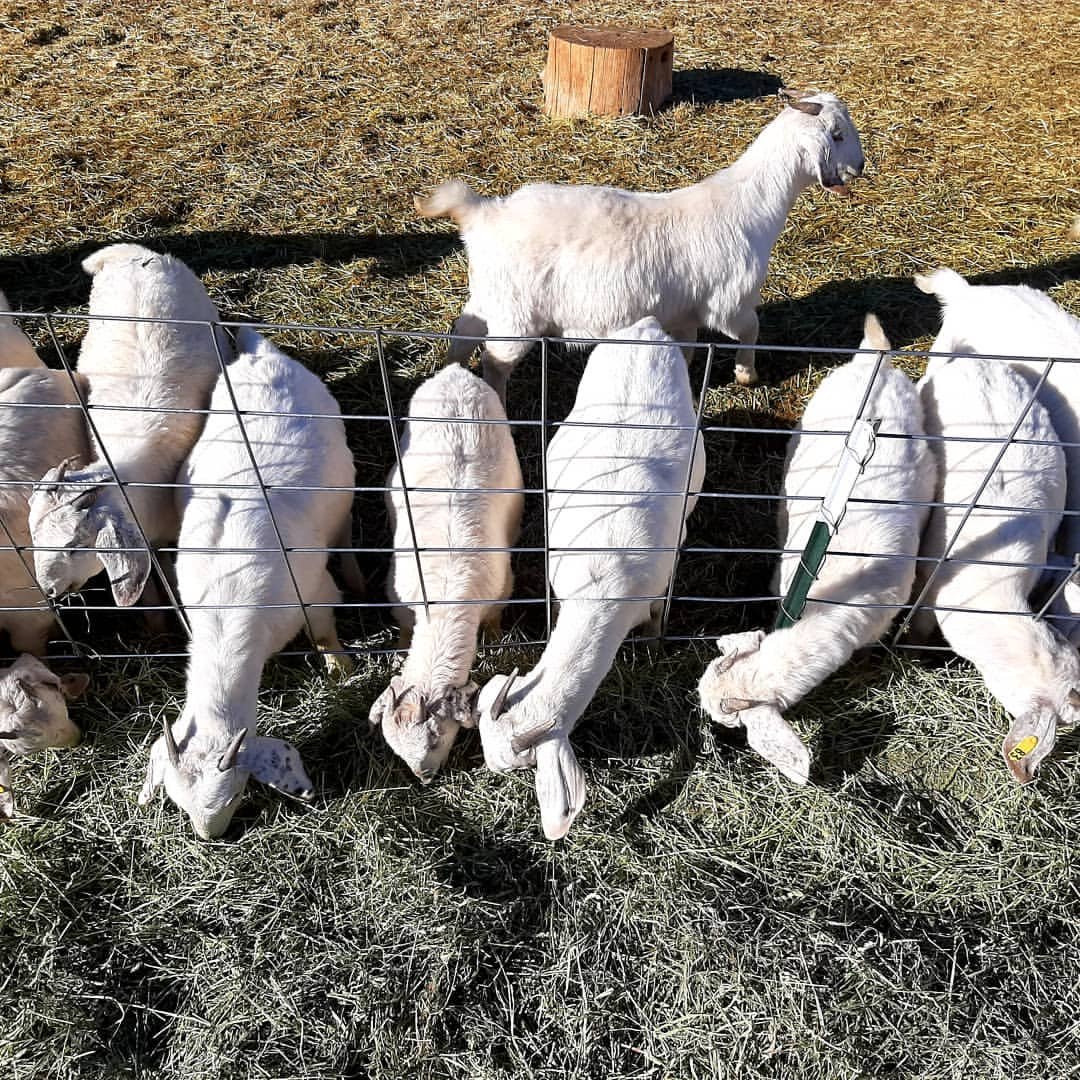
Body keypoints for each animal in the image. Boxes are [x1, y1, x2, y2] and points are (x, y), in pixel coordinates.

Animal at [138, 328, 355, 838]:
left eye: (236, 794)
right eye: (177, 801)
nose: (211, 838)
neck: (225, 610)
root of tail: (261, 352)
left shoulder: (313, 593)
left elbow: (324, 629)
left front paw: (340, 668)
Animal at [369, 364, 523, 782]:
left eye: (437, 737)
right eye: (393, 745)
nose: (424, 778)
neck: (444, 595)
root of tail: (455, 372)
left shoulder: (501, 592)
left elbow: (495, 622)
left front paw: (497, 639)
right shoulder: (400, 601)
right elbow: (404, 630)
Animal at [416, 90, 864, 401]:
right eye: (837, 134)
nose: (859, 167)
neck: (751, 203)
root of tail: (482, 213)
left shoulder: (684, 311)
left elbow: (687, 350)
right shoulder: (728, 303)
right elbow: (752, 329)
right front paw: (746, 375)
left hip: (490, 296)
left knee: (462, 335)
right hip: (516, 318)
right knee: (494, 363)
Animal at [476, 317, 705, 839]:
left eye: (515, 766)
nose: (489, 768)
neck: (605, 577)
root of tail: (647, 327)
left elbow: (658, 616)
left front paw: (655, 648)